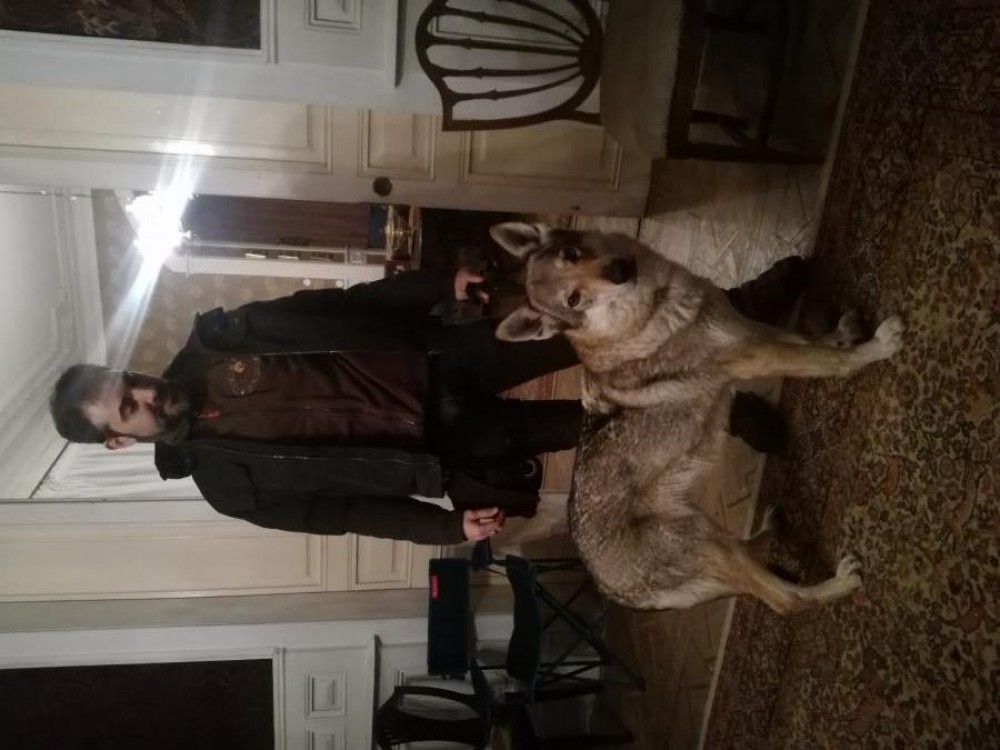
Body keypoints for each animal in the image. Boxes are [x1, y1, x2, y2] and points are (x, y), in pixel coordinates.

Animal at [490, 222, 904, 614]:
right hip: (703, 540)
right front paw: (874, 350)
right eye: (572, 300)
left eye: (572, 254)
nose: (620, 270)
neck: (653, 307)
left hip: (708, 535)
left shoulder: (749, 330)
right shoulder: (755, 356)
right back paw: (840, 583)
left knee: (752, 565)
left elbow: (809, 340)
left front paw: (844, 335)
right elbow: (828, 360)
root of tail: (611, 590)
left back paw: (770, 530)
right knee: (784, 600)